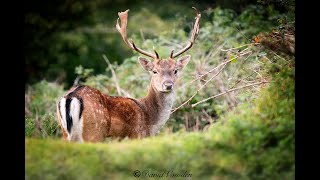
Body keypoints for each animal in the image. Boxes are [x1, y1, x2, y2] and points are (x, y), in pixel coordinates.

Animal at [55, 6, 200, 142]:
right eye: (154, 71)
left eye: (175, 70)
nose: (168, 85)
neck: (150, 121)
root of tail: (71, 98)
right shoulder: (138, 135)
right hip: (94, 131)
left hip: (65, 133)